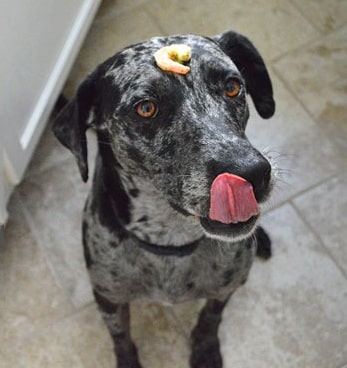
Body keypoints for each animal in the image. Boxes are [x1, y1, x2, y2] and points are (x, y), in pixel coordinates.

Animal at [53, 29, 278, 368]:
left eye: (232, 86)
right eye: (146, 108)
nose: (252, 172)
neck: (170, 241)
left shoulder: (228, 285)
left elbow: (211, 317)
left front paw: (205, 349)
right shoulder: (108, 299)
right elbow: (121, 338)